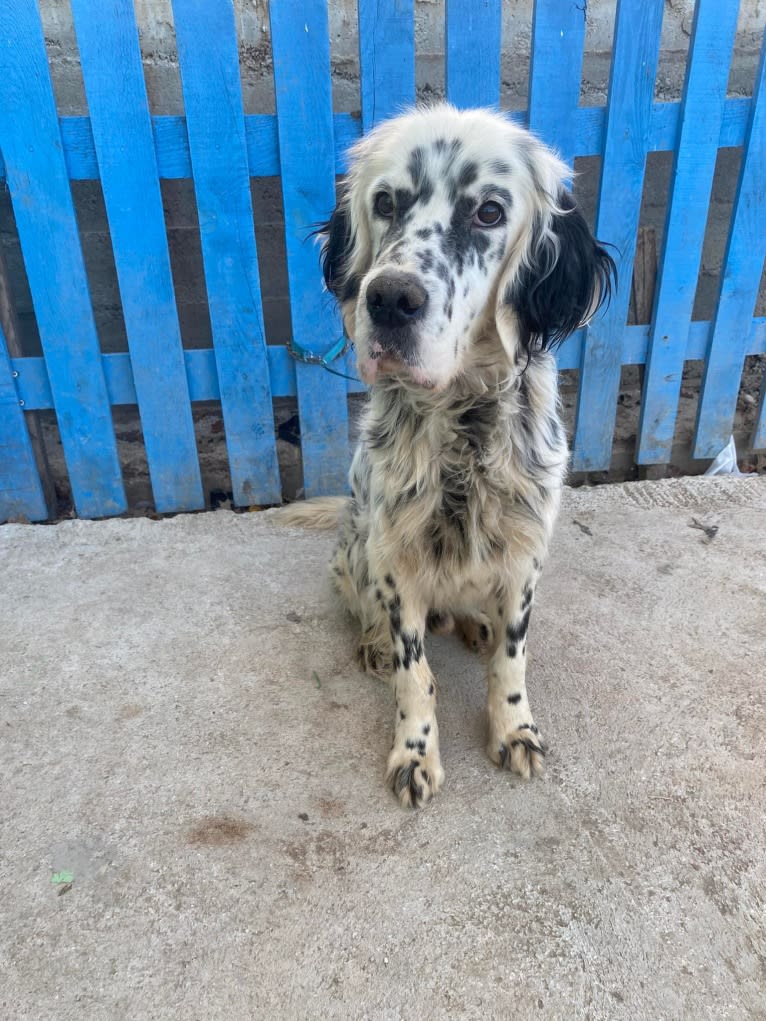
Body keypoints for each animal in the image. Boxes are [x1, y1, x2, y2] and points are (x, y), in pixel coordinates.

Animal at [275, 103, 616, 804]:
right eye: (384, 202)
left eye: (488, 211)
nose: (388, 299)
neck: (463, 420)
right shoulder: (395, 558)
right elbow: (417, 674)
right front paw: (414, 751)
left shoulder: (525, 553)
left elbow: (512, 660)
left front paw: (514, 729)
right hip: (356, 548)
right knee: (365, 610)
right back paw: (375, 642)